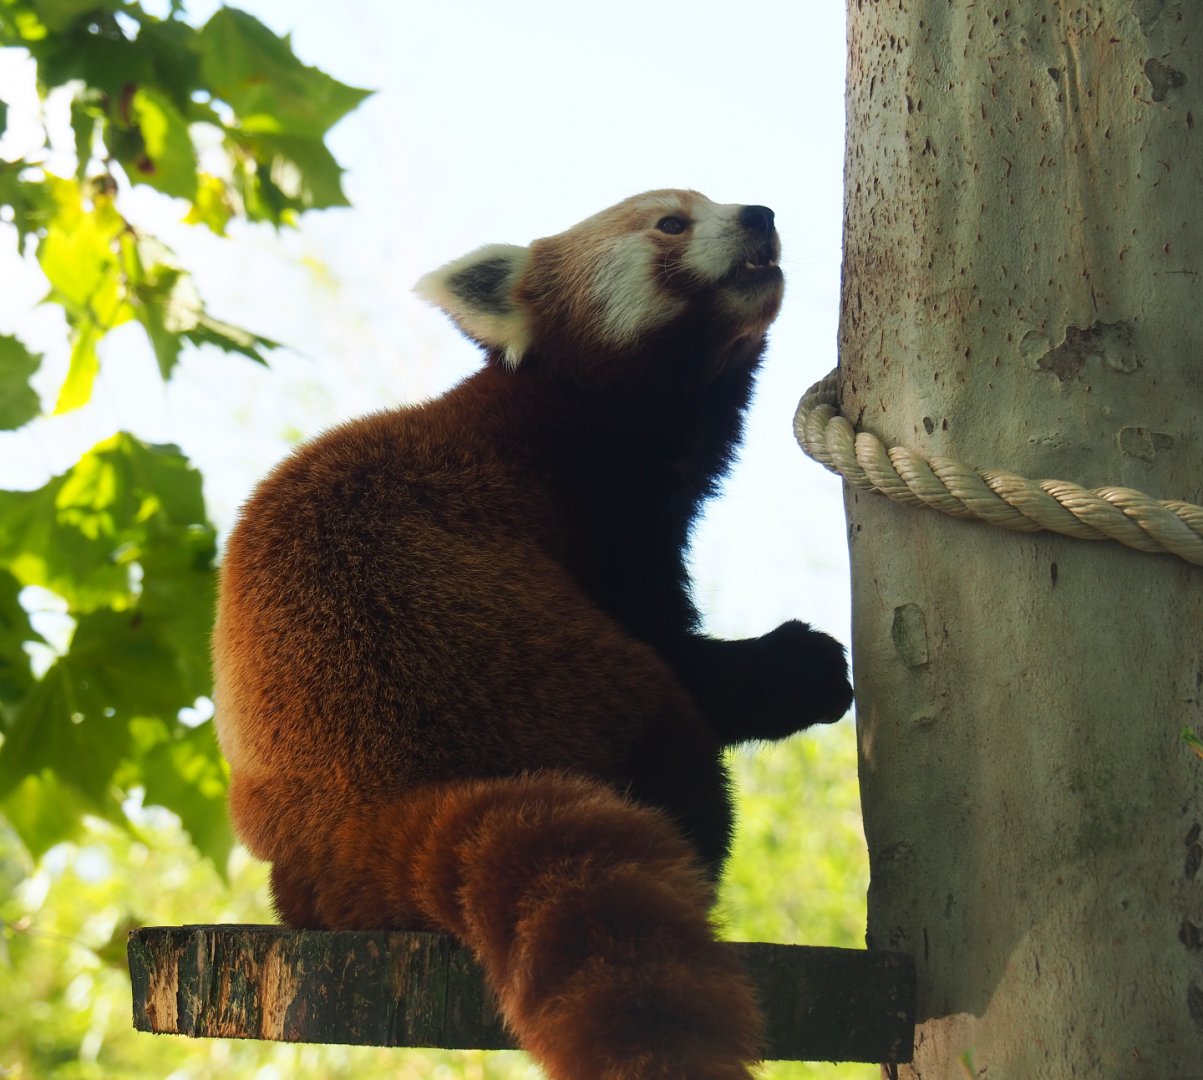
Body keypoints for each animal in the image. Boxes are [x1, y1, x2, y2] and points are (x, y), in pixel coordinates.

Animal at [212, 189, 853, 1079]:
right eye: (671, 222)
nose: (758, 214)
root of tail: (368, 805)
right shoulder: (597, 511)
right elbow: (683, 659)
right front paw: (800, 668)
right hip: (555, 678)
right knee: (673, 741)